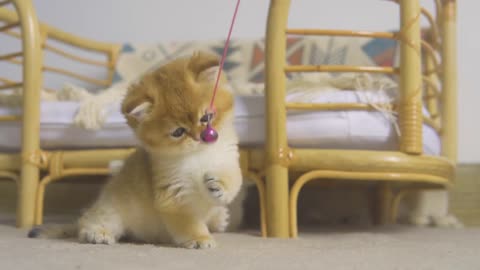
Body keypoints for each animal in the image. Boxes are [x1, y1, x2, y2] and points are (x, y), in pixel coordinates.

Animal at [31, 52, 244, 249]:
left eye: (206, 117)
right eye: (178, 132)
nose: (200, 137)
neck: (198, 155)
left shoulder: (227, 161)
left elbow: (233, 181)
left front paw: (218, 186)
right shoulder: (173, 196)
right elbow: (189, 223)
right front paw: (200, 239)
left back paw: (220, 219)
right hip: (112, 211)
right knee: (87, 222)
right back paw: (97, 234)